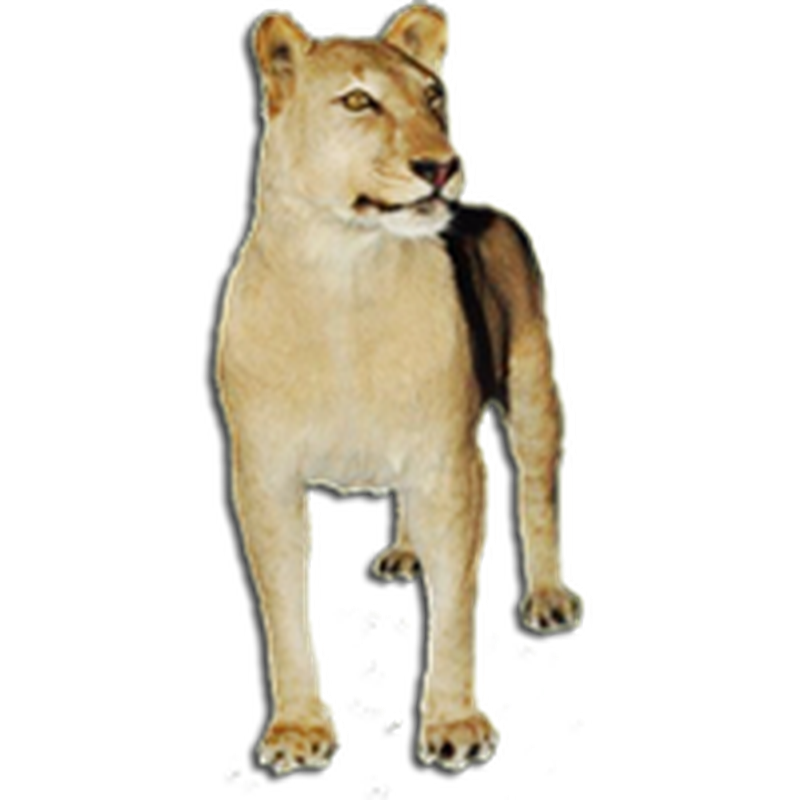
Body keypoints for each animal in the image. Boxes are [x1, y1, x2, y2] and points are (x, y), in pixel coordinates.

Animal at [214, 3, 587, 776]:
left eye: (432, 97)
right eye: (359, 101)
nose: (441, 167)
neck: (344, 275)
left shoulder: (448, 464)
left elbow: (455, 609)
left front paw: (456, 724)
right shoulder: (263, 474)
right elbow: (284, 608)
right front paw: (299, 730)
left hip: (535, 391)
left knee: (540, 495)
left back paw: (548, 597)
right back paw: (407, 552)